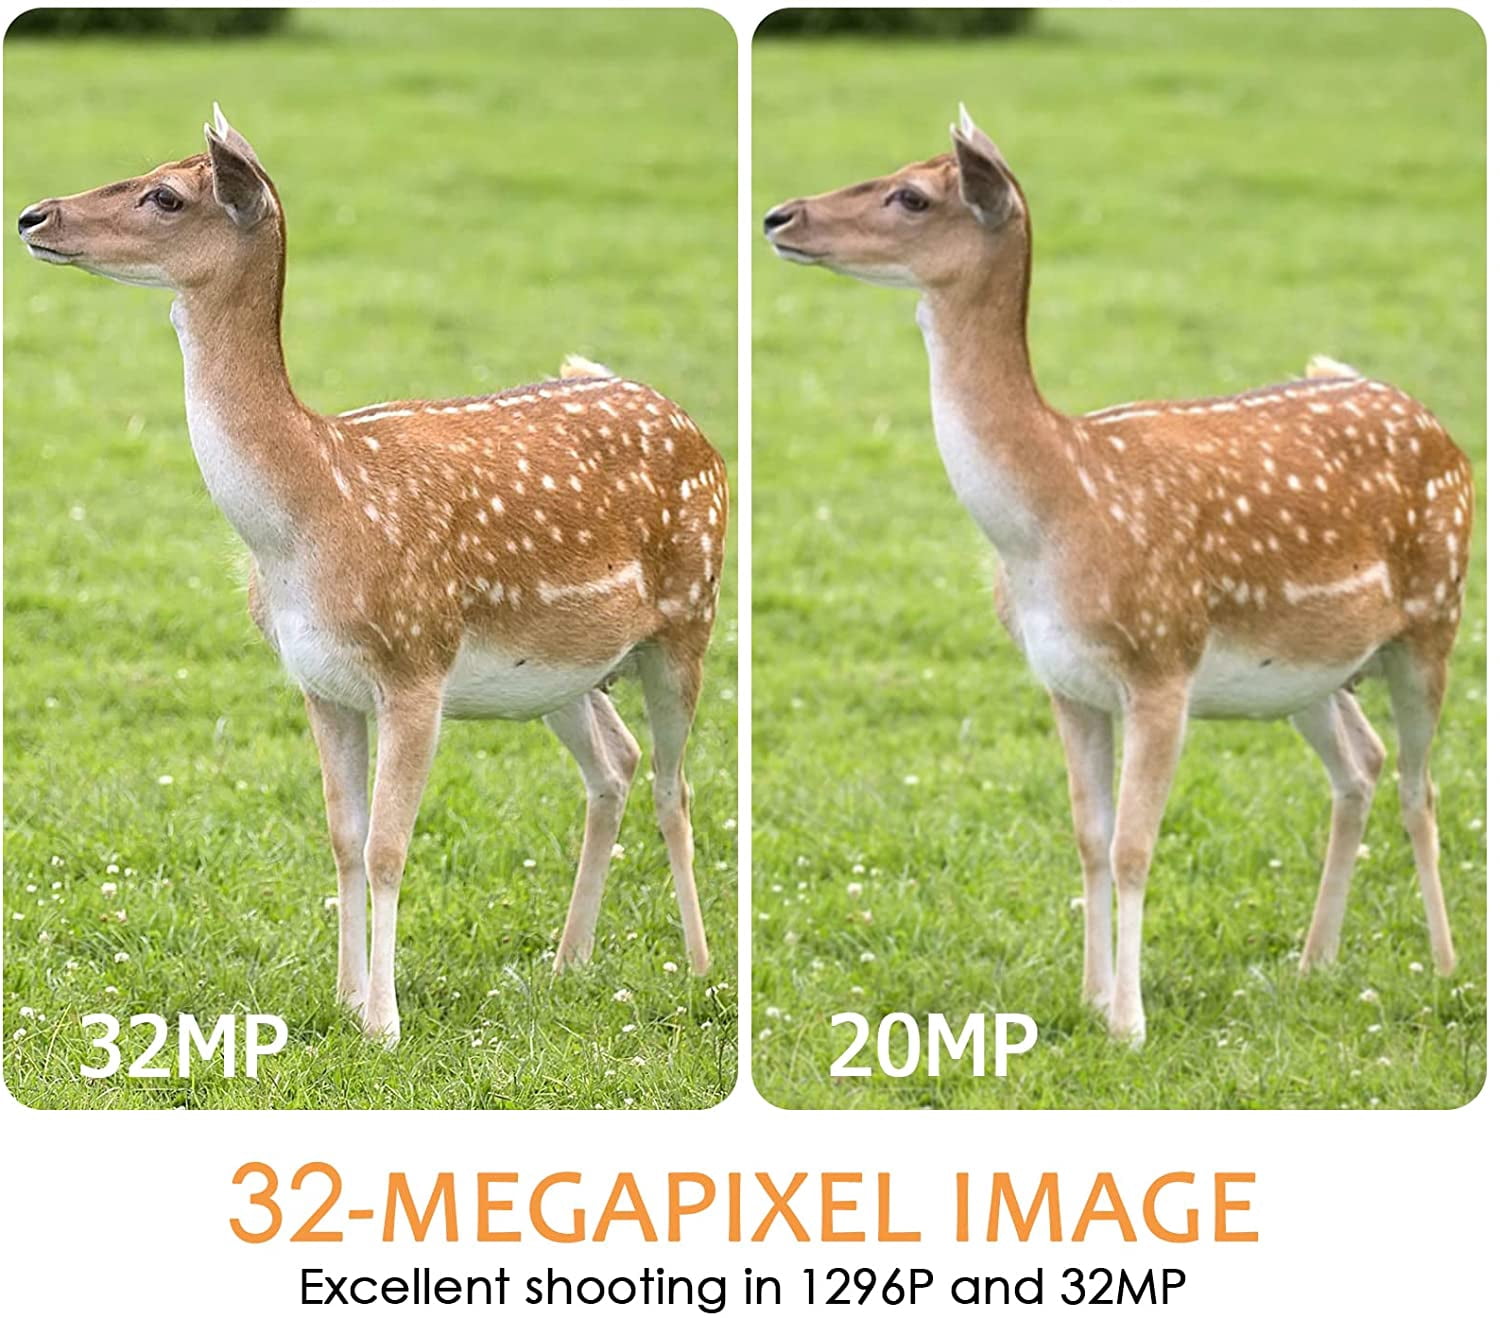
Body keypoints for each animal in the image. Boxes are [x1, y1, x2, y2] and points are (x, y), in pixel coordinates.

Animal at [17, 106, 728, 1045]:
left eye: (165, 195)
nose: (33, 216)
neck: (308, 522)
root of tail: (694, 430)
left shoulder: (415, 666)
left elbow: (390, 844)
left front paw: (385, 1021)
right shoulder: (318, 681)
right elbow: (342, 835)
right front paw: (346, 997)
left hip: (690, 617)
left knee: (675, 785)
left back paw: (702, 968)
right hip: (560, 671)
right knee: (615, 762)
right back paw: (567, 961)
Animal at [763, 105, 1471, 1045]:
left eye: (911, 195)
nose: (779, 216)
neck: (1052, 522)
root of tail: (1439, 429)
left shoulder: (1162, 664)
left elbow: (1136, 844)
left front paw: (1130, 1022)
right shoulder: (1064, 680)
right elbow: (1088, 837)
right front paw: (1092, 997)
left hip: (1436, 616)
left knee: (1423, 786)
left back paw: (1446, 966)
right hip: (1309, 672)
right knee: (1362, 763)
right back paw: (1313, 962)